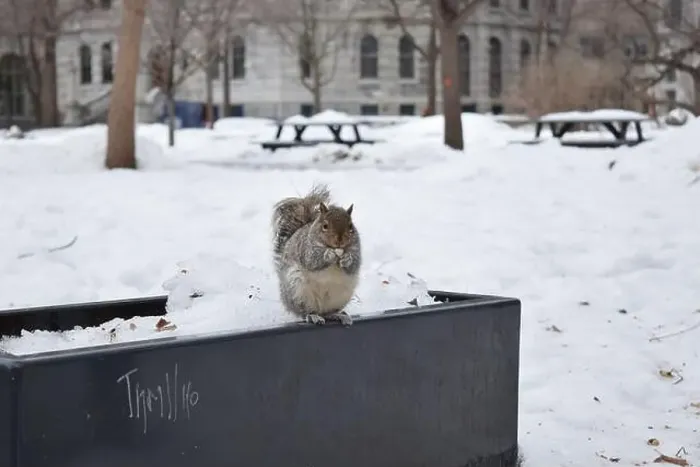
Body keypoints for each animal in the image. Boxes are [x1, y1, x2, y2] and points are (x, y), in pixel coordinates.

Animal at [271, 184, 361, 326]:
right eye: (325, 226)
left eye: (350, 226)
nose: (339, 240)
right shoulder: (306, 248)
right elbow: (312, 261)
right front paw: (329, 254)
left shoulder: (356, 248)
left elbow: (354, 264)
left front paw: (347, 258)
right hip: (298, 291)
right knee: (305, 312)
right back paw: (313, 316)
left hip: (340, 296)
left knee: (327, 312)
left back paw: (337, 315)